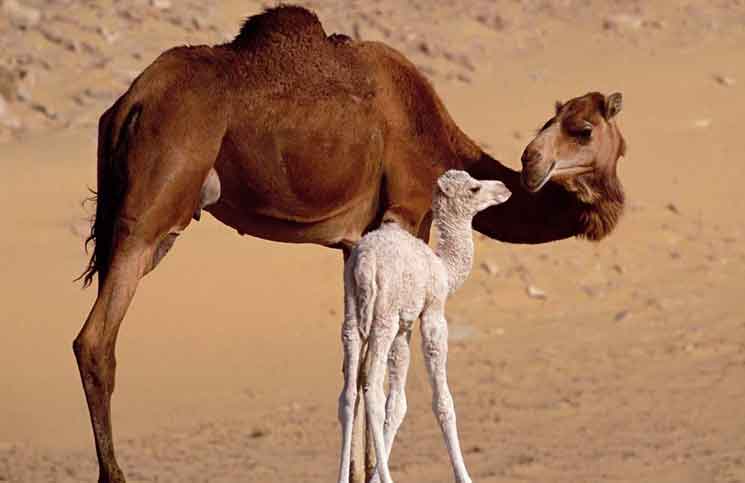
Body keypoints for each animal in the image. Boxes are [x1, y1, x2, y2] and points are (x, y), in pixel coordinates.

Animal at [340, 170, 511, 483]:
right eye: (474, 188)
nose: (504, 188)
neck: (444, 268)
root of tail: (366, 263)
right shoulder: (432, 313)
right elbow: (443, 401)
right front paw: (463, 476)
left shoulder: (404, 326)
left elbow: (397, 403)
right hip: (383, 316)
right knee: (372, 389)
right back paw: (388, 479)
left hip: (352, 312)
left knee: (348, 395)